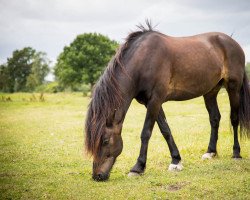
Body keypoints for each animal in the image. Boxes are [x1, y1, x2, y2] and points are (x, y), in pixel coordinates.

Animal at [84, 21, 250, 181]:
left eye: (105, 141)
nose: (97, 176)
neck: (144, 60)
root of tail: (233, 42)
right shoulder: (151, 103)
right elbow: (165, 130)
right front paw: (176, 161)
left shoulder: (155, 101)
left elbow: (146, 132)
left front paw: (137, 167)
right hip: (210, 91)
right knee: (214, 118)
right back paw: (210, 152)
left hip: (233, 88)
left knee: (234, 119)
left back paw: (236, 153)